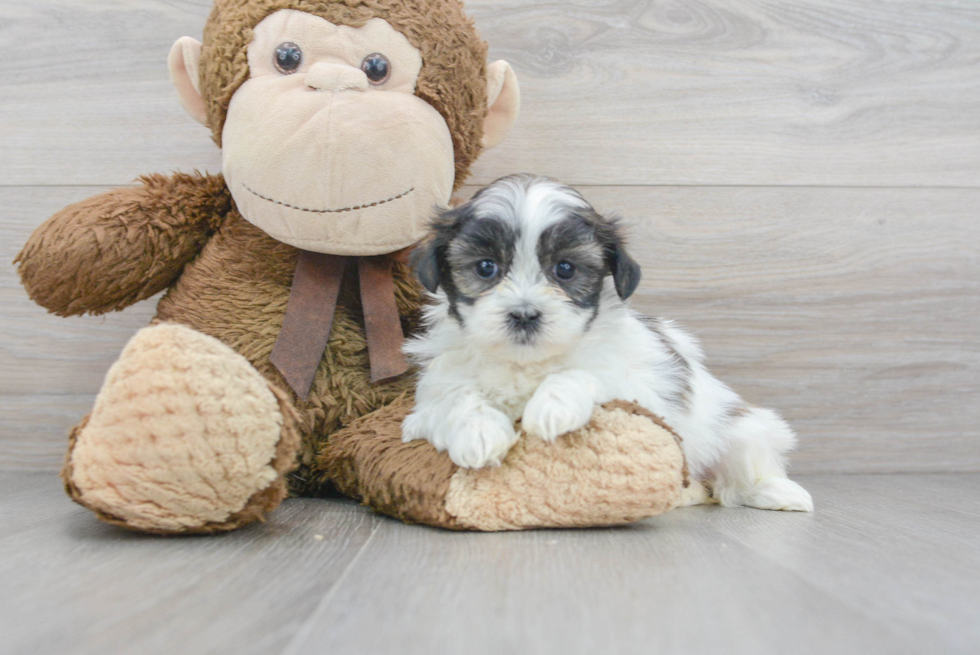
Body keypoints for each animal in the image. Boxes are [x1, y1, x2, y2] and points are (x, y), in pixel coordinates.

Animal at [402, 174, 816, 512]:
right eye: (486, 267)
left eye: (565, 269)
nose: (524, 314)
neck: (528, 363)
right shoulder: (428, 401)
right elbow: (456, 398)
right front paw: (478, 432)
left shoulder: (641, 390)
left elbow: (587, 374)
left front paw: (552, 404)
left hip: (742, 430)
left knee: (743, 465)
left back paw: (775, 492)